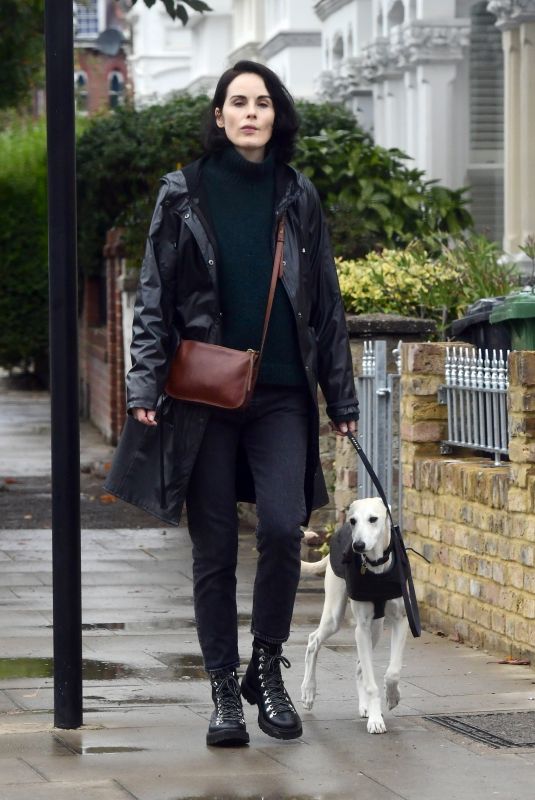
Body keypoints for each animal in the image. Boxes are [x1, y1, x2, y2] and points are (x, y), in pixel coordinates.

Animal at [300, 496, 408, 736]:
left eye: (373, 519)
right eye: (353, 521)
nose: (357, 546)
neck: (376, 567)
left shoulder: (400, 621)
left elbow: (393, 671)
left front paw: (392, 696)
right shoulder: (362, 628)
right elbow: (371, 683)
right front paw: (376, 720)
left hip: (376, 629)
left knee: (360, 666)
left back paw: (365, 706)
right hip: (335, 615)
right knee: (313, 641)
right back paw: (308, 691)